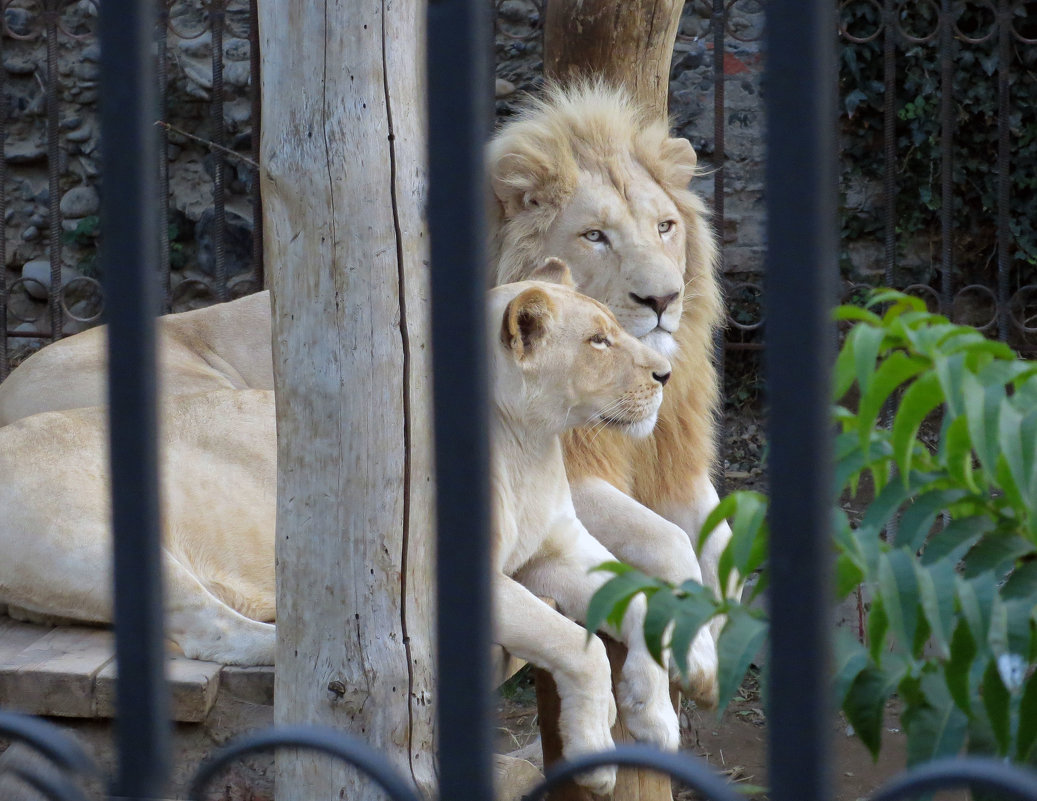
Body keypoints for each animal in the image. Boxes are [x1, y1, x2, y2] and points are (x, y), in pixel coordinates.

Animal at [489, 81, 734, 655]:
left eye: (665, 227)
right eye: (595, 236)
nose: (663, 299)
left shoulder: (672, 455)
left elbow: (720, 537)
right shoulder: (566, 476)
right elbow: (668, 540)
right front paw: (698, 641)